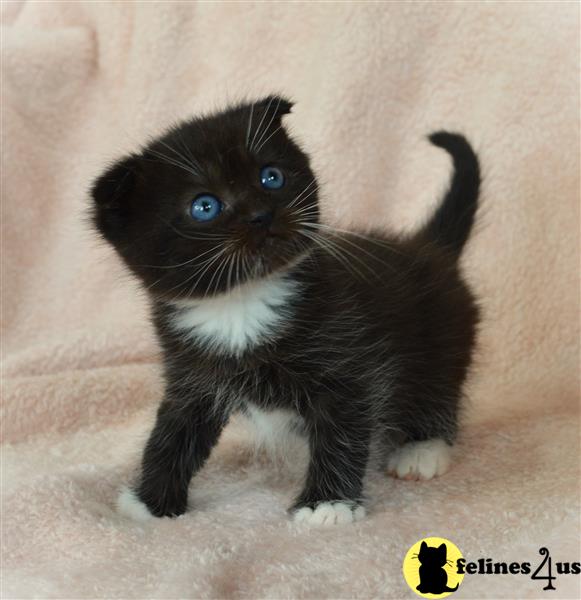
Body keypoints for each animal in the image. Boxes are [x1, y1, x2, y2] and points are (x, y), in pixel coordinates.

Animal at [92, 95, 480, 524]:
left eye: (271, 177)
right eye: (205, 206)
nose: (261, 215)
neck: (241, 305)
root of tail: (430, 247)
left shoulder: (349, 365)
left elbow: (342, 432)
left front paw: (327, 504)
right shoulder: (191, 376)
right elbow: (173, 434)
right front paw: (150, 502)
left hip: (442, 340)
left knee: (438, 389)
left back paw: (422, 448)